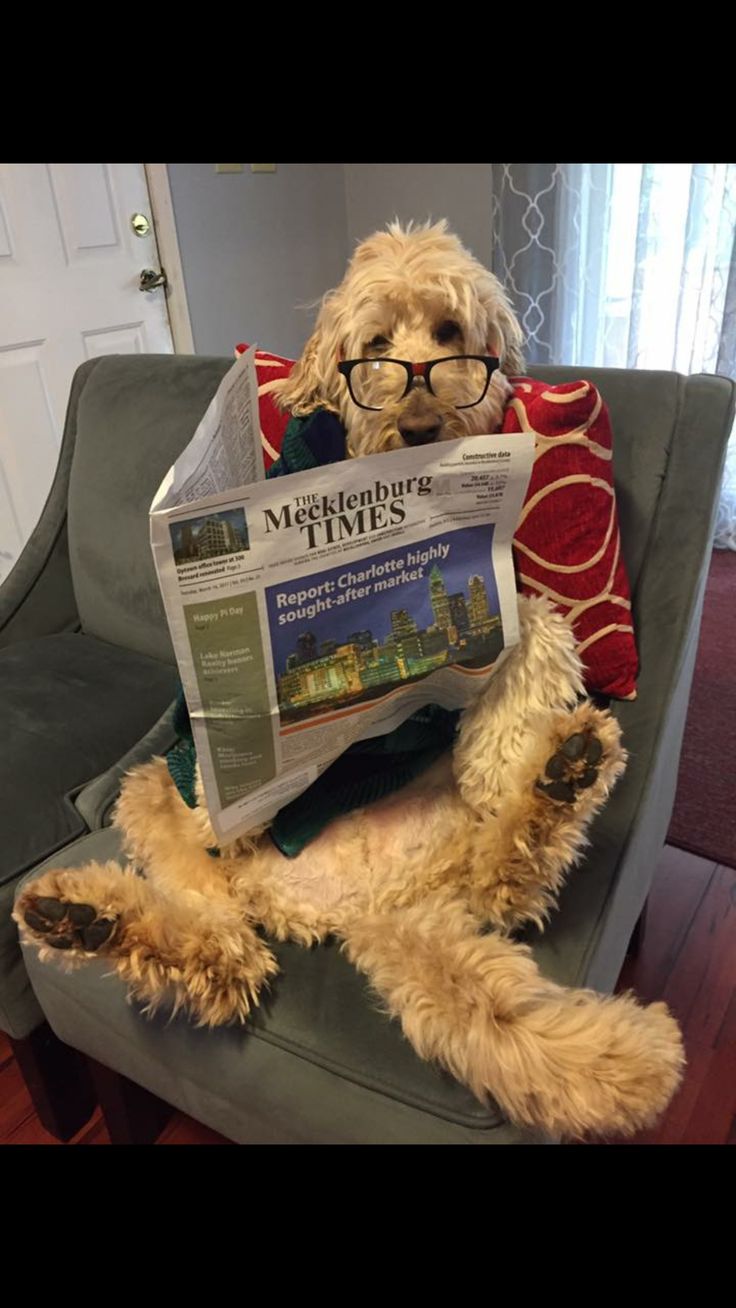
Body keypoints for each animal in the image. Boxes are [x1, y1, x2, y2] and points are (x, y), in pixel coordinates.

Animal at [15, 222, 685, 1135]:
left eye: (450, 333)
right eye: (374, 346)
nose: (423, 423)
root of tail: (369, 905)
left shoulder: (502, 588)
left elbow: (536, 627)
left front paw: (493, 756)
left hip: (453, 860)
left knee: (504, 880)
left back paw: (559, 776)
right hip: (156, 790)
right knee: (220, 938)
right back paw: (92, 918)